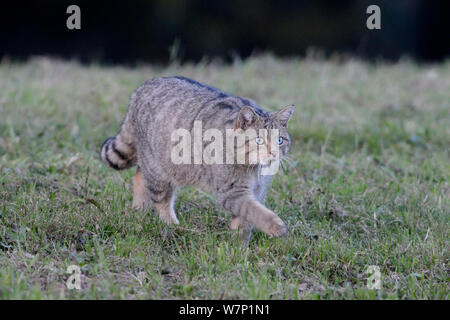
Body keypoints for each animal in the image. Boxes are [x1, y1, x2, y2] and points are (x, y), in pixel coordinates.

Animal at [100, 77, 294, 242]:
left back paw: (138, 210)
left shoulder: (257, 191)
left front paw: (239, 247)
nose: (273, 153)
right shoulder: (231, 191)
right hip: (159, 169)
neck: (254, 169)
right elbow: (255, 211)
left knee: (139, 177)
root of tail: (141, 88)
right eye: (259, 140)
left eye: (279, 140)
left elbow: (245, 219)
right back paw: (172, 225)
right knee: (160, 200)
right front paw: (275, 226)